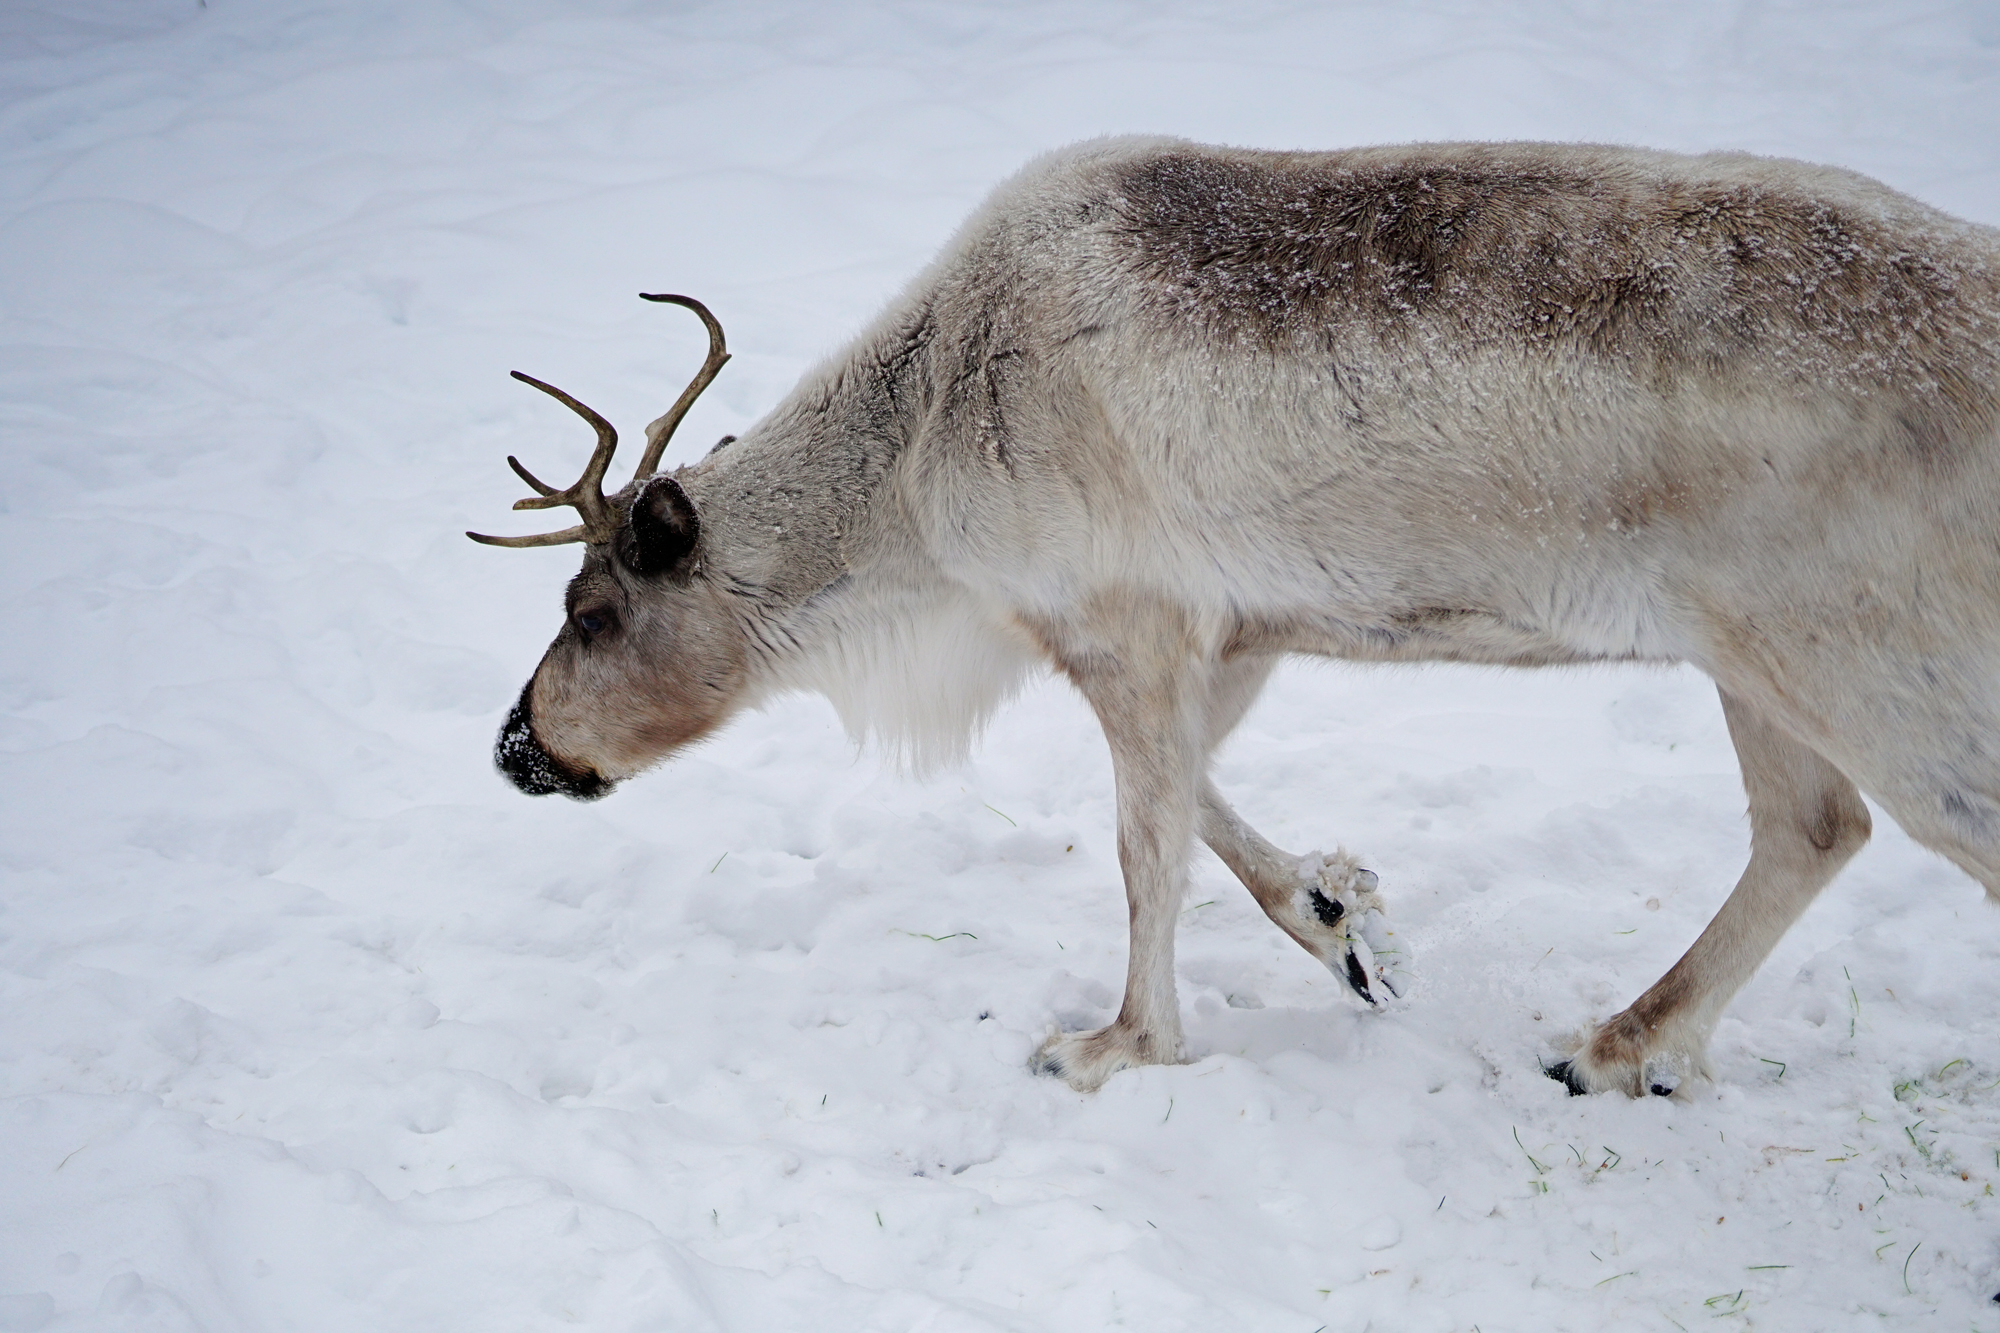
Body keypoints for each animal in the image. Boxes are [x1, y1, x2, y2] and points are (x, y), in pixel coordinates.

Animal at [468, 138, 2000, 1099]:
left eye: (591, 609)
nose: (514, 746)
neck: (918, 460)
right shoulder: (1236, 628)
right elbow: (1201, 803)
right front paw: (1341, 919)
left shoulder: (1124, 621)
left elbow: (1145, 846)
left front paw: (1116, 1044)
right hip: (1750, 652)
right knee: (1813, 827)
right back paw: (1616, 1047)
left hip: (1856, 649)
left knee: (1887, 824)